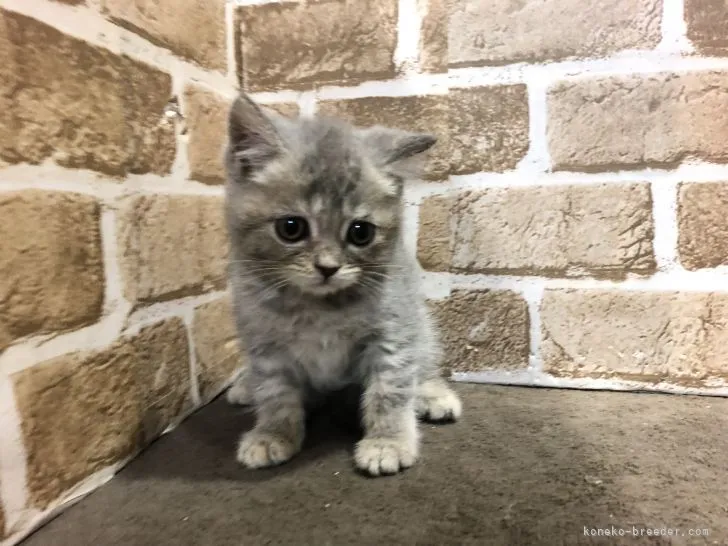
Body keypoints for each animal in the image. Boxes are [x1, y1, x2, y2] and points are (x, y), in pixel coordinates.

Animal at [223, 91, 460, 474]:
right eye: (291, 228)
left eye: (360, 233)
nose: (328, 268)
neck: (320, 308)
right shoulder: (264, 341)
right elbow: (275, 393)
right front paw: (273, 434)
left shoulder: (393, 331)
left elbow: (390, 390)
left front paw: (387, 443)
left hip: (420, 322)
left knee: (423, 358)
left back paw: (432, 394)